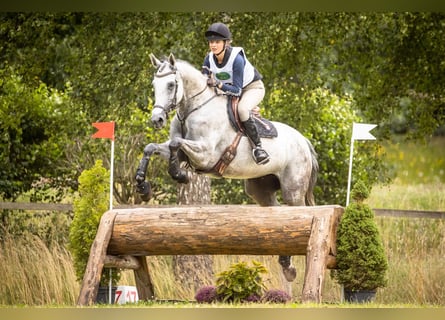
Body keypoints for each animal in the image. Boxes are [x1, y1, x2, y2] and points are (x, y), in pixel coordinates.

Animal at [134, 53, 318, 282]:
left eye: (170, 85)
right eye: (154, 85)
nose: (156, 119)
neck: (192, 109)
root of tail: (304, 140)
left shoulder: (206, 155)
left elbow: (176, 144)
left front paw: (179, 174)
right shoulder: (184, 149)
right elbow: (152, 147)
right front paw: (143, 187)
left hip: (293, 190)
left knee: (298, 215)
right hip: (260, 190)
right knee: (276, 215)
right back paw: (286, 265)